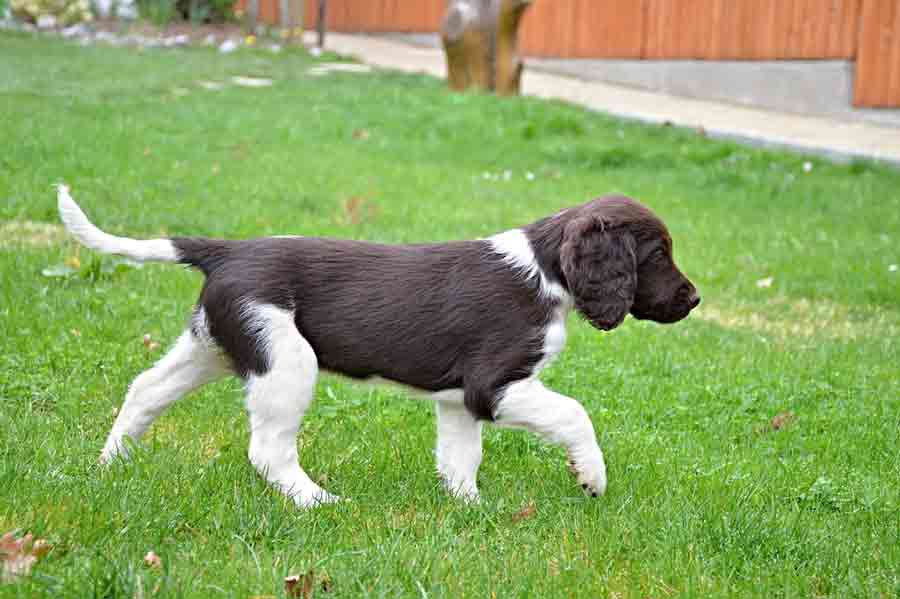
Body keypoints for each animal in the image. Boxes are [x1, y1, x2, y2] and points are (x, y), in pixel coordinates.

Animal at [56, 184, 700, 506]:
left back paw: (109, 465)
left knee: (145, 390)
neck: (544, 270)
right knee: (268, 449)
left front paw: (469, 508)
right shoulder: (494, 384)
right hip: (285, 358)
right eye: (657, 254)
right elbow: (573, 413)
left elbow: (461, 456)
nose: (694, 299)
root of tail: (227, 251)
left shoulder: (457, 398)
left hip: (215, 345)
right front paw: (591, 477)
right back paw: (315, 500)